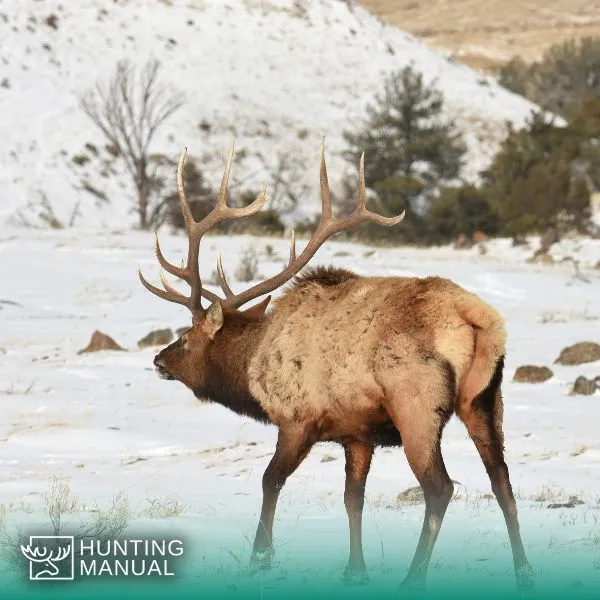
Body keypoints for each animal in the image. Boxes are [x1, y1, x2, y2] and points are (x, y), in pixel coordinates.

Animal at [139, 143, 536, 592]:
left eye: (187, 337)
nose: (159, 360)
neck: (252, 369)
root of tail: (475, 316)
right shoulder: (357, 433)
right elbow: (353, 498)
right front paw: (355, 569)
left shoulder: (298, 419)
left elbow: (270, 480)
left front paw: (260, 557)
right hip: (486, 398)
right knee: (501, 480)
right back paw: (524, 573)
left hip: (417, 405)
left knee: (440, 488)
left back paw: (412, 578)